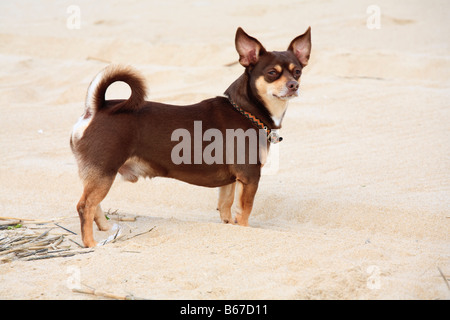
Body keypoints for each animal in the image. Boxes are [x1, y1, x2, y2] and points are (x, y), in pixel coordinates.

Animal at [70, 27, 312, 248]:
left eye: (298, 72)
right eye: (272, 73)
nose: (294, 85)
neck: (246, 110)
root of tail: (96, 109)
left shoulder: (231, 181)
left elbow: (226, 208)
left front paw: (229, 228)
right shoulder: (250, 177)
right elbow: (244, 213)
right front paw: (246, 231)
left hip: (99, 174)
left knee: (94, 204)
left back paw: (105, 230)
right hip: (105, 171)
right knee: (85, 206)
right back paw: (91, 244)